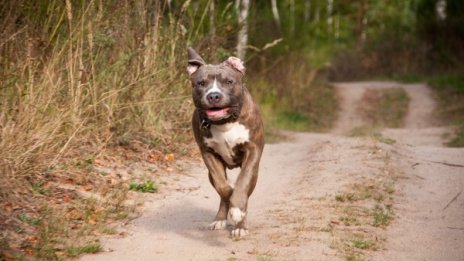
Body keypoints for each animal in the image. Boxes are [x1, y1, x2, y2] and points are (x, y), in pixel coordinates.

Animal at [186, 47, 264, 237]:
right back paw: (220, 219)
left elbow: (242, 183)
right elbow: (223, 187)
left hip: (255, 172)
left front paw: (238, 211)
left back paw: (240, 225)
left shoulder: (252, 151)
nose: (213, 95)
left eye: (229, 81)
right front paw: (231, 200)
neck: (224, 123)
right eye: (201, 83)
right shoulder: (208, 154)